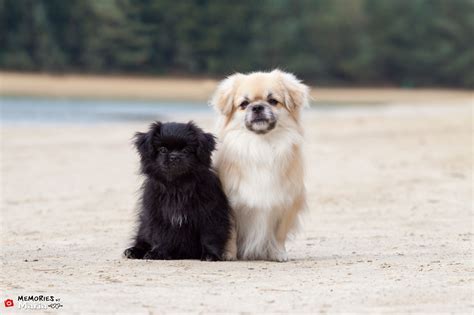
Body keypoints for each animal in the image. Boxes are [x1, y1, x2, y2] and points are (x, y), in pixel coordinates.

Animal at [123, 121, 232, 262]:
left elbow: (209, 237)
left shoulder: (211, 215)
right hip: (143, 226)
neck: (177, 186)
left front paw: (210, 255)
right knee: (142, 239)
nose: (174, 157)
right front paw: (158, 253)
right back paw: (133, 251)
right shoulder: (157, 216)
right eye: (163, 150)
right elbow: (161, 237)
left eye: (186, 150)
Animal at [210, 69, 308, 262]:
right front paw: (229, 254)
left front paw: (278, 254)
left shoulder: (287, 202)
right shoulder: (231, 204)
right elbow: (231, 232)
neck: (261, 144)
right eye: (244, 104)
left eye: (273, 101)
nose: (257, 107)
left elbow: (279, 234)